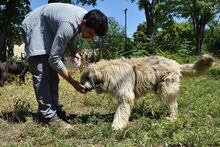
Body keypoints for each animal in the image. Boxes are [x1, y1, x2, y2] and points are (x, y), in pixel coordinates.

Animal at [80, 54, 214, 130]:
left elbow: (121, 111)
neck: (108, 72)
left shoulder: (126, 96)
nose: (81, 86)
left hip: (166, 88)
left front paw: (117, 125)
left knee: (173, 104)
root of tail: (176, 64)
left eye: (87, 78)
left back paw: (172, 117)